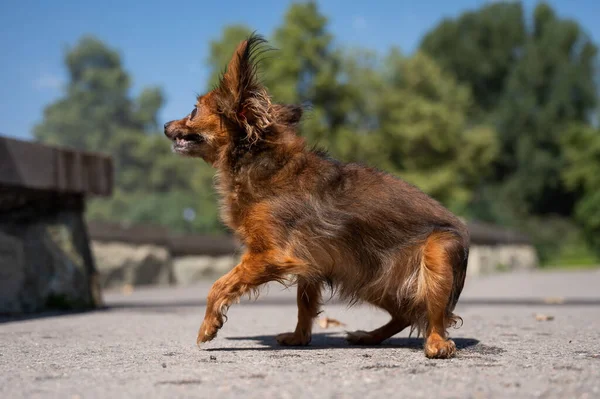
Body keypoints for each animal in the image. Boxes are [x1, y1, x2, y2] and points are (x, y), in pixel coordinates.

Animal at [163, 33, 468, 360]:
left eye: (194, 111)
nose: (165, 125)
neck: (260, 163)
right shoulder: (310, 262)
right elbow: (304, 303)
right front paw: (299, 337)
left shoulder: (271, 254)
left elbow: (220, 284)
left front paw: (209, 325)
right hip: (369, 277)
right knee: (405, 314)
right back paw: (369, 336)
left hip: (434, 258)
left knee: (433, 316)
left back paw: (437, 344)